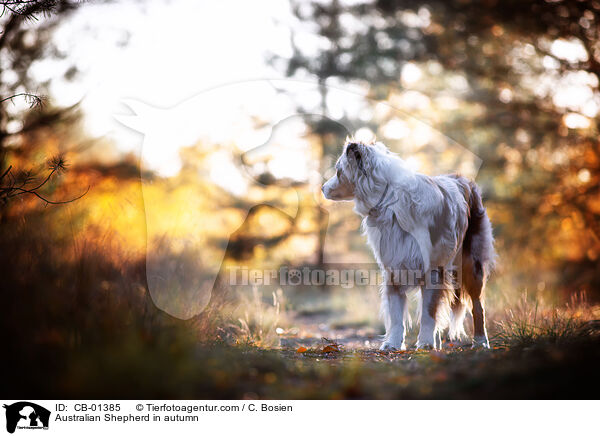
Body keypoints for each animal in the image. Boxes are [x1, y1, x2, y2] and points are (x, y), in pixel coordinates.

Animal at [324, 140, 496, 350]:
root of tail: (463, 179)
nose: (322, 188)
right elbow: (397, 314)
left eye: (338, 171)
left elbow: (429, 313)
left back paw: (480, 341)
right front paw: (393, 344)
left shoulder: (433, 270)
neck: (390, 199)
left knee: (477, 305)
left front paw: (425, 343)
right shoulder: (393, 266)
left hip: (472, 264)